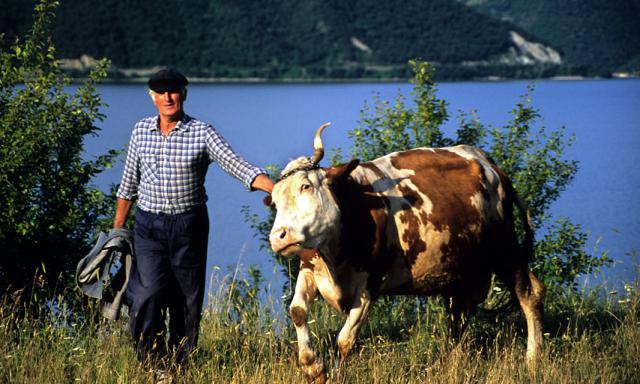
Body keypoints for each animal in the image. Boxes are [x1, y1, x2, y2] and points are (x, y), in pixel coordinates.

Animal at [268, 124, 544, 382]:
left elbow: (345, 339)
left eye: (306, 186)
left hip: (504, 247)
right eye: (274, 200)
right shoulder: (309, 269)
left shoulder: (371, 284)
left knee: (529, 294)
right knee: (460, 313)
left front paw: (332, 374)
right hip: (463, 269)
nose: (278, 237)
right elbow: (297, 311)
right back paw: (451, 365)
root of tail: (488, 163)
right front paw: (312, 365)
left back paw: (532, 358)